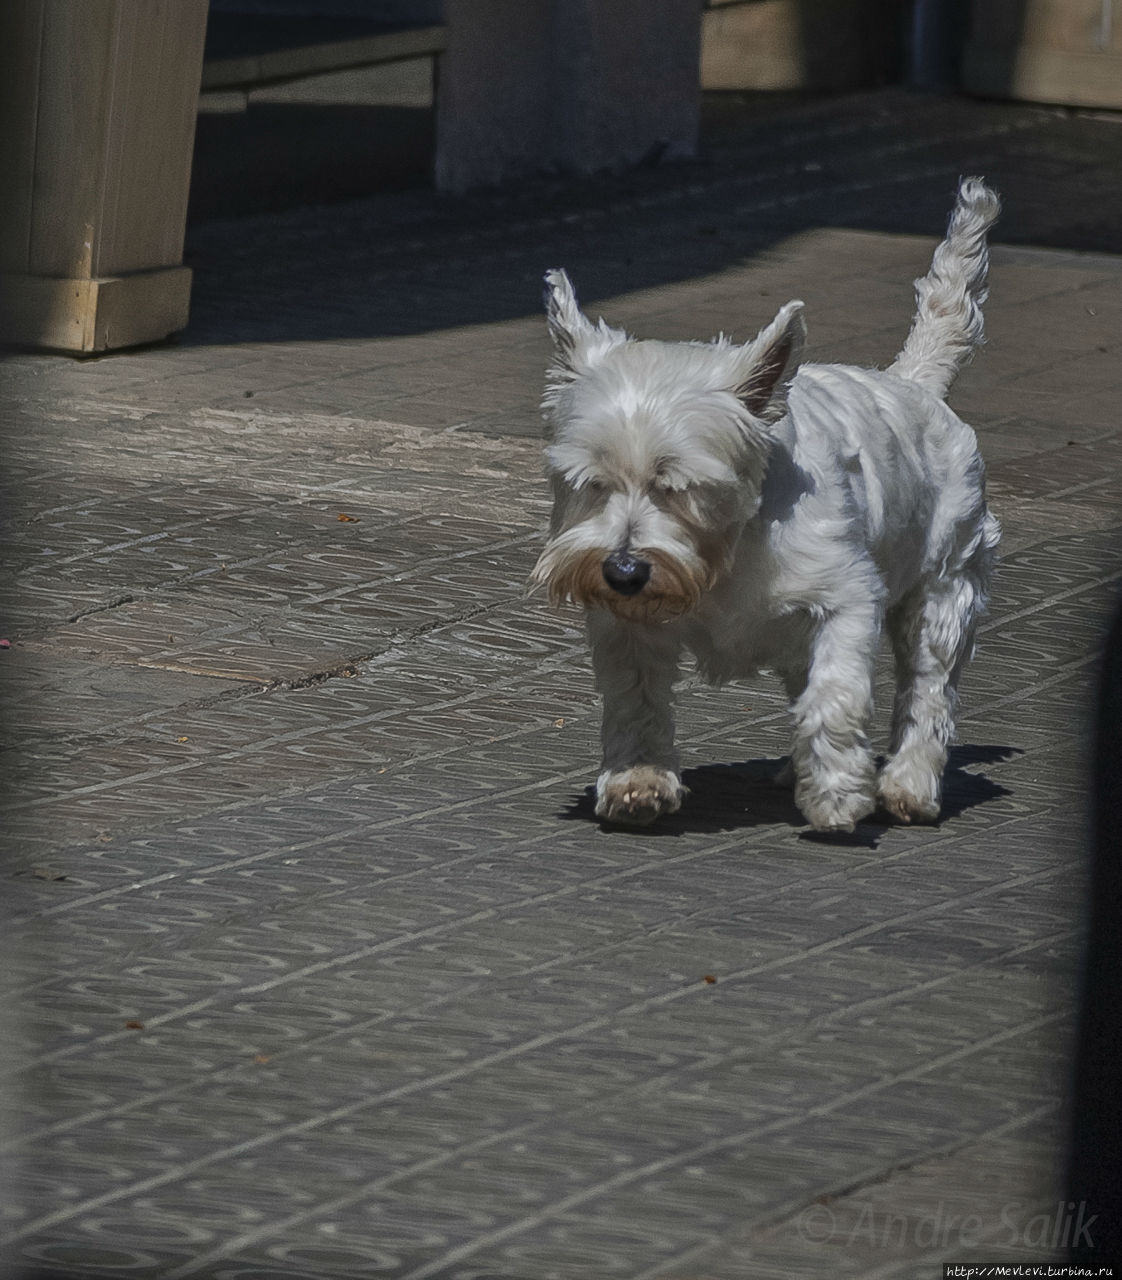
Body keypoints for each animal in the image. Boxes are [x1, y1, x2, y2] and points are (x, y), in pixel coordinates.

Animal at [532, 180, 997, 834]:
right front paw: (637, 782)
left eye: (681, 485)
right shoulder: (628, 625)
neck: (724, 553)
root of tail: (915, 383)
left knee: (928, 685)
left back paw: (906, 785)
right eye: (590, 480)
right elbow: (635, 699)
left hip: (945, 584)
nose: (623, 572)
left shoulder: (846, 598)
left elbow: (835, 697)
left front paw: (837, 794)